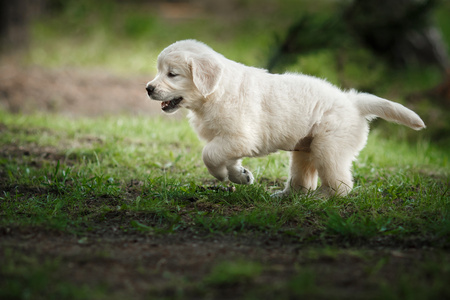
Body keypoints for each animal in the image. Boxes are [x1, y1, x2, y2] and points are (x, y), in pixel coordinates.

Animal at [147, 39, 426, 197]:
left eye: (172, 74)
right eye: (159, 71)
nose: (148, 88)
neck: (215, 92)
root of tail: (353, 102)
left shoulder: (240, 137)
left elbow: (210, 155)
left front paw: (223, 175)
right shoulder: (230, 140)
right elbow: (227, 158)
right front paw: (241, 176)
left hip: (329, 149)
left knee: (342, 185)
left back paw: (323, 199)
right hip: (305, 151)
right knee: (304, 182)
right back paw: (285, 197)